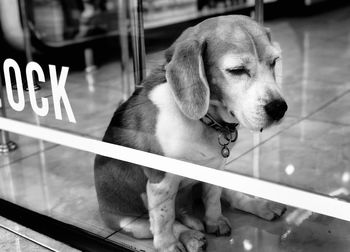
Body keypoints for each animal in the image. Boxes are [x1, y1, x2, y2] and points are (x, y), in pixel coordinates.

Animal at [95, 15, 288, 252]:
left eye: (274, 62)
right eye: (236, 70)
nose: (279, 108)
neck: (204, 121)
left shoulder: (216, 167)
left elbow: (212, 199)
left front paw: (215, 221)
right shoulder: (161, 182)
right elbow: (164, 219)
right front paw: (168, 246)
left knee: (231, 198)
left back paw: (260, 205)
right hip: (129, 223)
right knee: (161, 223)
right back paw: (190, 236)